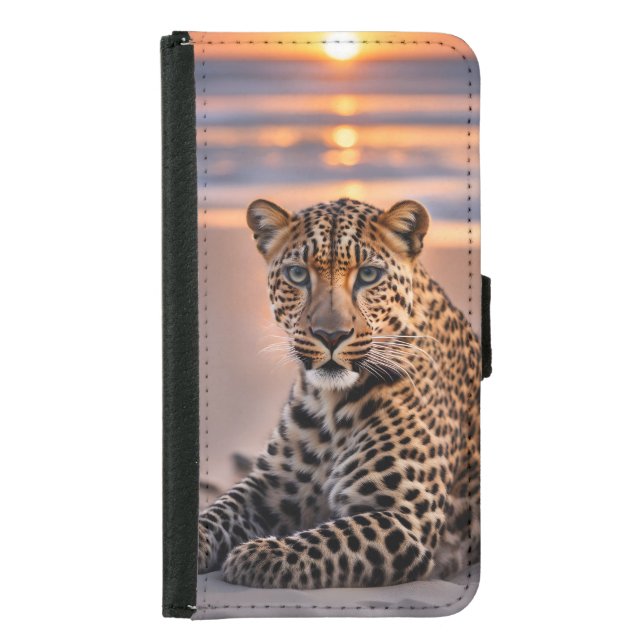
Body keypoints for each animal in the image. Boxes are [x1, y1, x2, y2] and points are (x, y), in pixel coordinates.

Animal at [197, 197, 481, 589]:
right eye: (298, 274)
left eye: (369, 276)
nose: (330, 336)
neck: (331, 404)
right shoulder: (268, 488)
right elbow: (217, 511)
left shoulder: (403, 518)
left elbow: (323, 541)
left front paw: (257, 553)